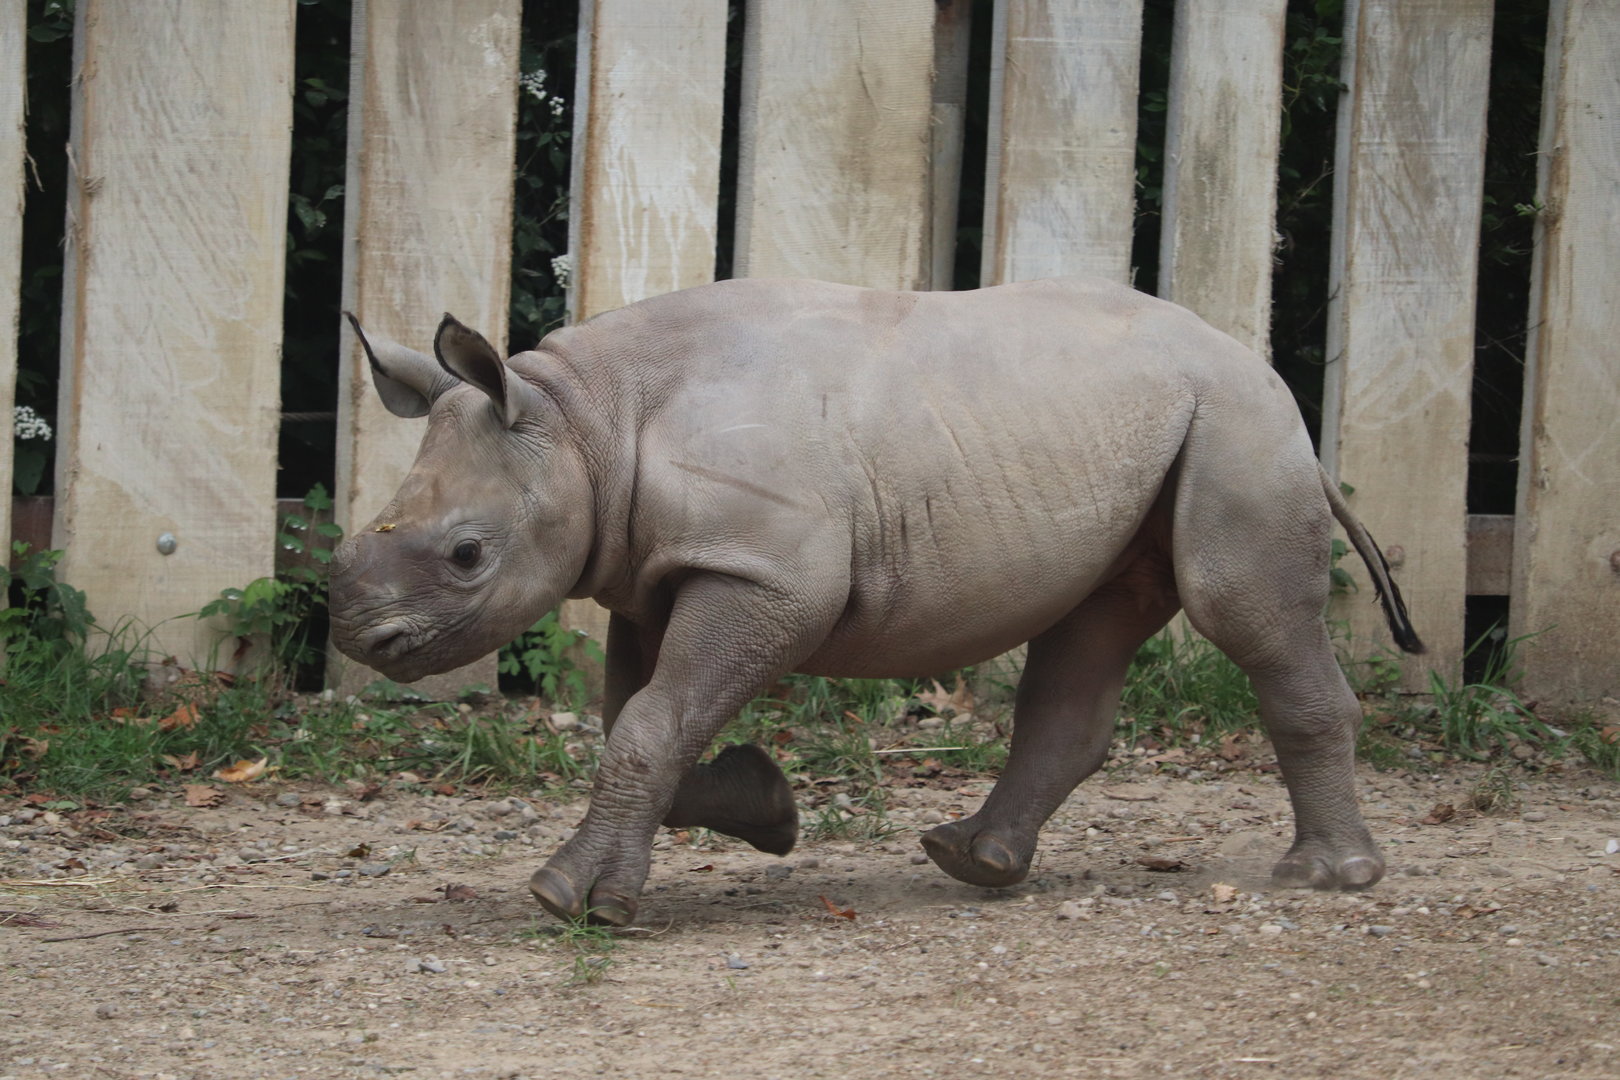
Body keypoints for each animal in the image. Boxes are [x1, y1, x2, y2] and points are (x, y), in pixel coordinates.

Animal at [330, 276, 1422, 927]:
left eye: (468, 554)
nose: (359, 637)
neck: (582, 422)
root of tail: (1267, 374)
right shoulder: (659, 570)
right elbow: (645, 724)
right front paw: (770, 811)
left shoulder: (765, 575)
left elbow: (648, 724)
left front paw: (573, 901)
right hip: (1147, 430)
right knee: (1092, 627)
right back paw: (973, 861)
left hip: (1241, 430)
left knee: (1243, 615)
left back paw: (1327, 880)